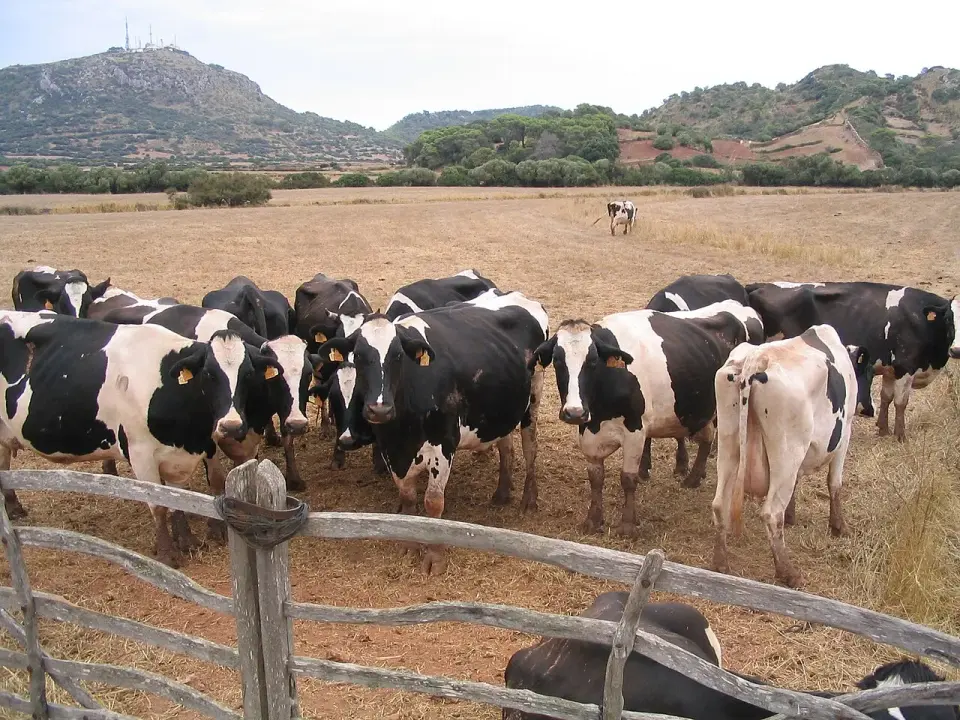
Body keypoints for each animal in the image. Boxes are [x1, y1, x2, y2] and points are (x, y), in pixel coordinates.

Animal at [0, 311, 281, 567]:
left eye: (247, 375)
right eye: (209, 374)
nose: (231, 426)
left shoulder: (186, 450)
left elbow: (178, 495)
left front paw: (187, 541)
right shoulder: (140, 454)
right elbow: (158, 504)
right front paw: (168, 554)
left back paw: (13, 508)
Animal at [316, 288, 549, 574]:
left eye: (398, 356)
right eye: (358, 355)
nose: (379, 409)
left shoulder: (444, 444)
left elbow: (434, 502)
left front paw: (435, 557)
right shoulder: (392, 450)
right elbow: (407, 498)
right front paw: (409, 546)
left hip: (534, 397)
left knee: (530, 447)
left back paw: (529, 498)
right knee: (506, 446)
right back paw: (502, 493)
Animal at [533, 310, 728, 537]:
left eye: (592, 361)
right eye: (556, 360)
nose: (574, 412)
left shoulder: (635, 431)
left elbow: (628, 478)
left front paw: (627, 525)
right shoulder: (588, 432)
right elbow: (595, 477)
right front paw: (593, 520)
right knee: (706, 437)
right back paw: (694, 478)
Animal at [711, 325, 868, 587]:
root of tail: (757, 359)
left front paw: (793, 515)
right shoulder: (845, 434)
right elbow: (835, 483)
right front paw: (839, 527)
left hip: (728, 443)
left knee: (720, 503)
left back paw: (721, 564)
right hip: (787, 452)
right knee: (772, 513)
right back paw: (788, 573)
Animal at [745, 281, 957, 441]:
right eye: (949, 319)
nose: (957, 350)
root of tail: (759, 285)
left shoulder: (891, 369)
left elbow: (886, 397)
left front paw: (883, 429)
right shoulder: (905, 367)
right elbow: (900, 402)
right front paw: (900, 436)